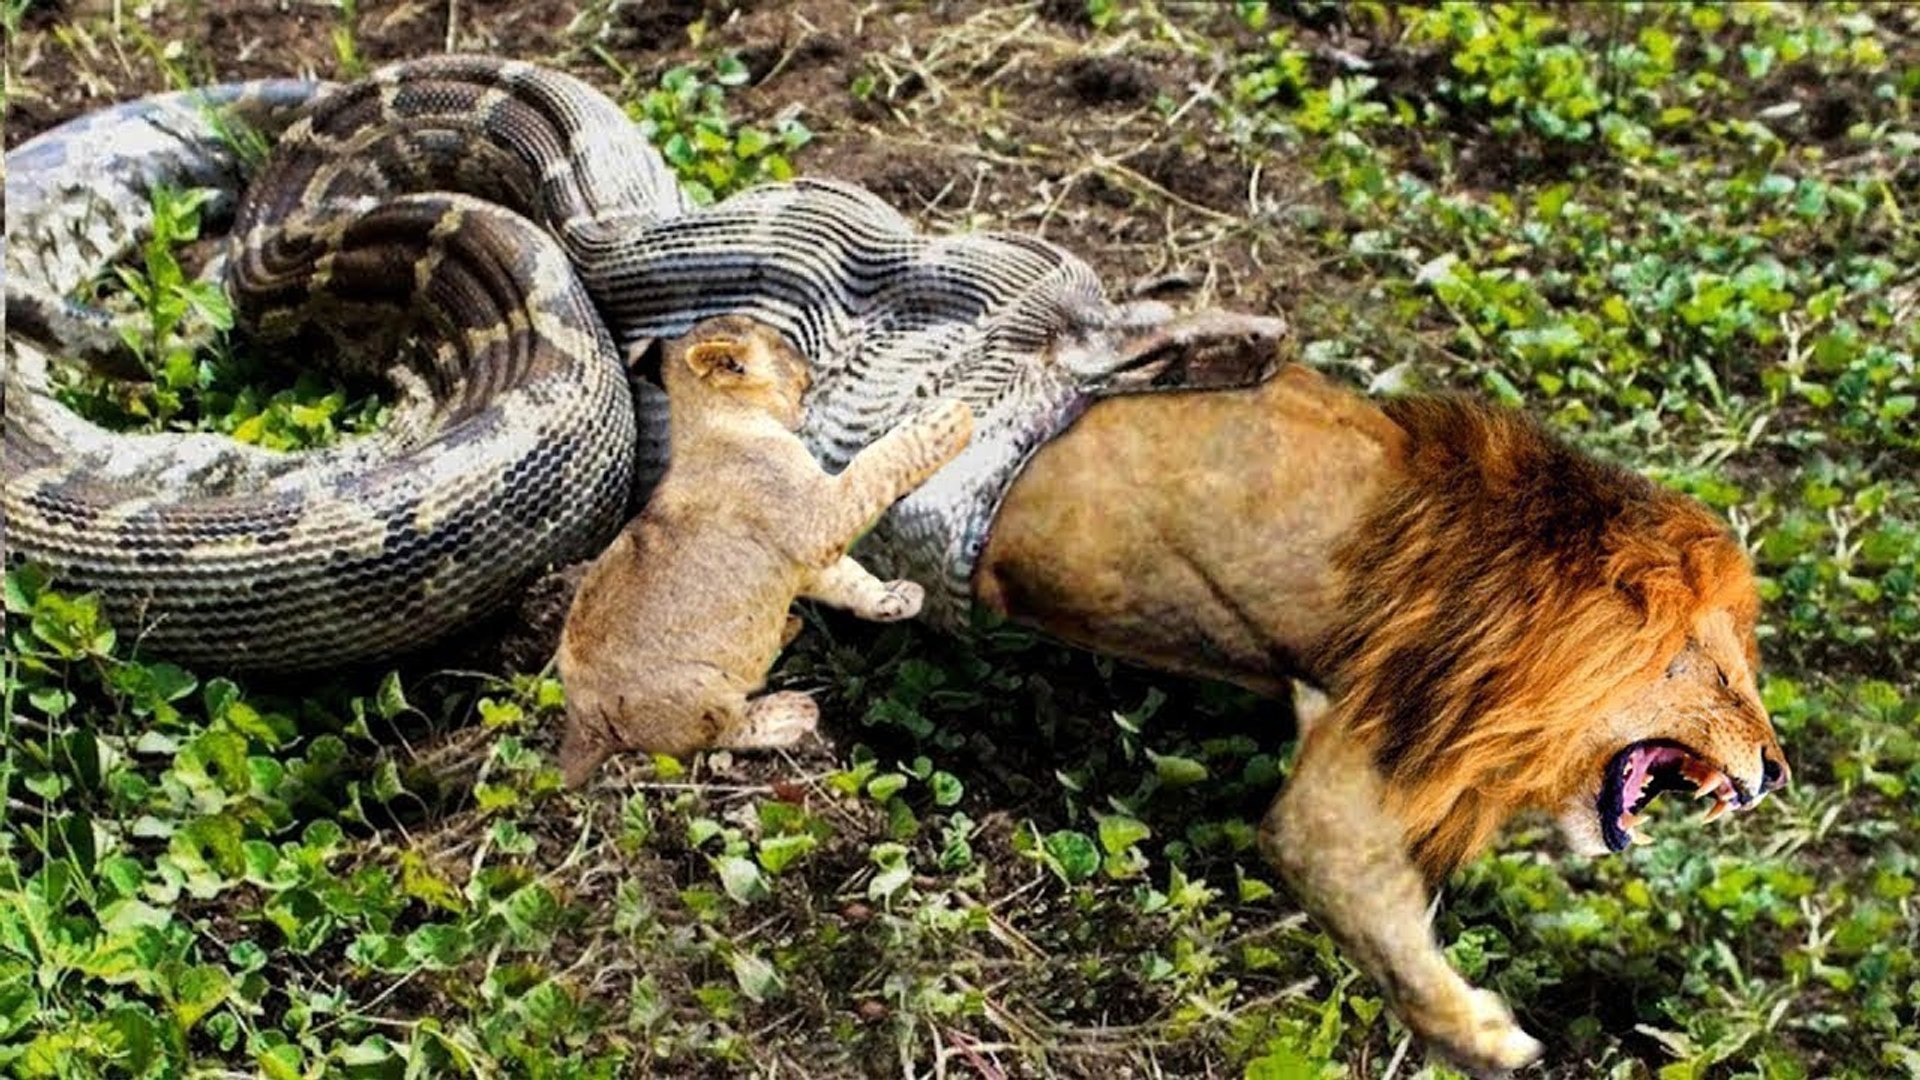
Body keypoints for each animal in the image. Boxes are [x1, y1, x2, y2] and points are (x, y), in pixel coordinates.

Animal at [556, 316, 974, 784]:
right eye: (782, 345)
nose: (811, 364)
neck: (717, 420)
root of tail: (584, 727)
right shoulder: (818, 518)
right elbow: (875, 464)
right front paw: (943, 420)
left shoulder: (804, 557)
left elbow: (850, 579)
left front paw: (892, 598)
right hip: (696, 689)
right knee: (719, 732)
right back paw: (790, 713)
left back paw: (787, 627)